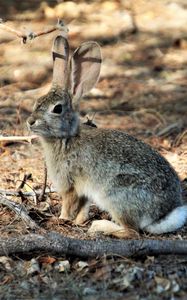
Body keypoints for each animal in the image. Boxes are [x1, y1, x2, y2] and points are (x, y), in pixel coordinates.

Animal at [27, 34, 187, 237]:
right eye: (37, 101)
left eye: (57, 109)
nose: (30, 122)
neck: (66, 138)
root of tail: (162, 216)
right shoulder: (83, 191)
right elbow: (82, 207)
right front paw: (78, 222)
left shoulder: (69, 184)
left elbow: (68, 205)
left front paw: (62, 219)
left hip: (116, 195)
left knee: (132, 231)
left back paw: (100, 226)